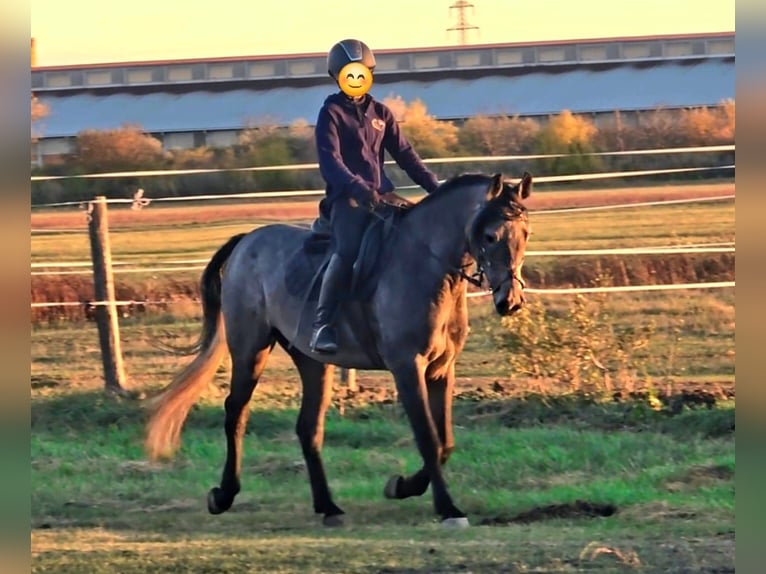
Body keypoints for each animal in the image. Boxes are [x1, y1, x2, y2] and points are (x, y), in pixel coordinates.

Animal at [145, 171, 533, 527]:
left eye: (525, 234)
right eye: (490, 236)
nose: (510, 301)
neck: (429, 267)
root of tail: (247, 241)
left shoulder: (441, 369)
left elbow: (444, 442)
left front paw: (402, 486)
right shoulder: (407, 367)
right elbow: (428, 437)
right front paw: (446, 508)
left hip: (312, 362)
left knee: (308, 427)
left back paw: (328, 506)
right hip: (250, 349)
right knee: (236, 412)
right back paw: (223, 495)